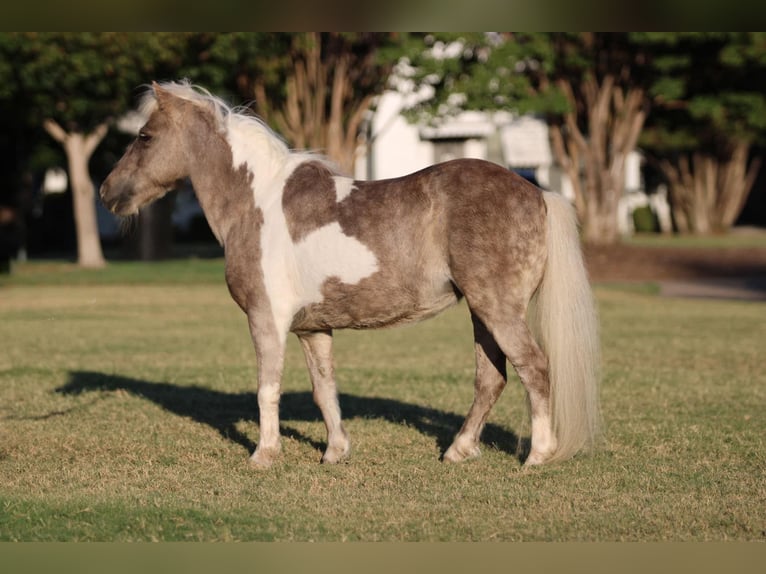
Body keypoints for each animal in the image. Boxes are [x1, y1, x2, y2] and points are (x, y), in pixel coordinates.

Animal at [99, 80, 604, 468]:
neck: (255, 202)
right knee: (491, 378)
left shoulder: (266, 320)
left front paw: (264, 455)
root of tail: (537, 192)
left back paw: (537, 456)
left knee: (533, 368)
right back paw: (458, 451)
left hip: (497, 309)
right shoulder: (312, 329)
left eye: (144, 136)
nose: (107, 191)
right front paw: (335, 452)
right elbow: (325, 391)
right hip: (482, 313)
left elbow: (268, 388)